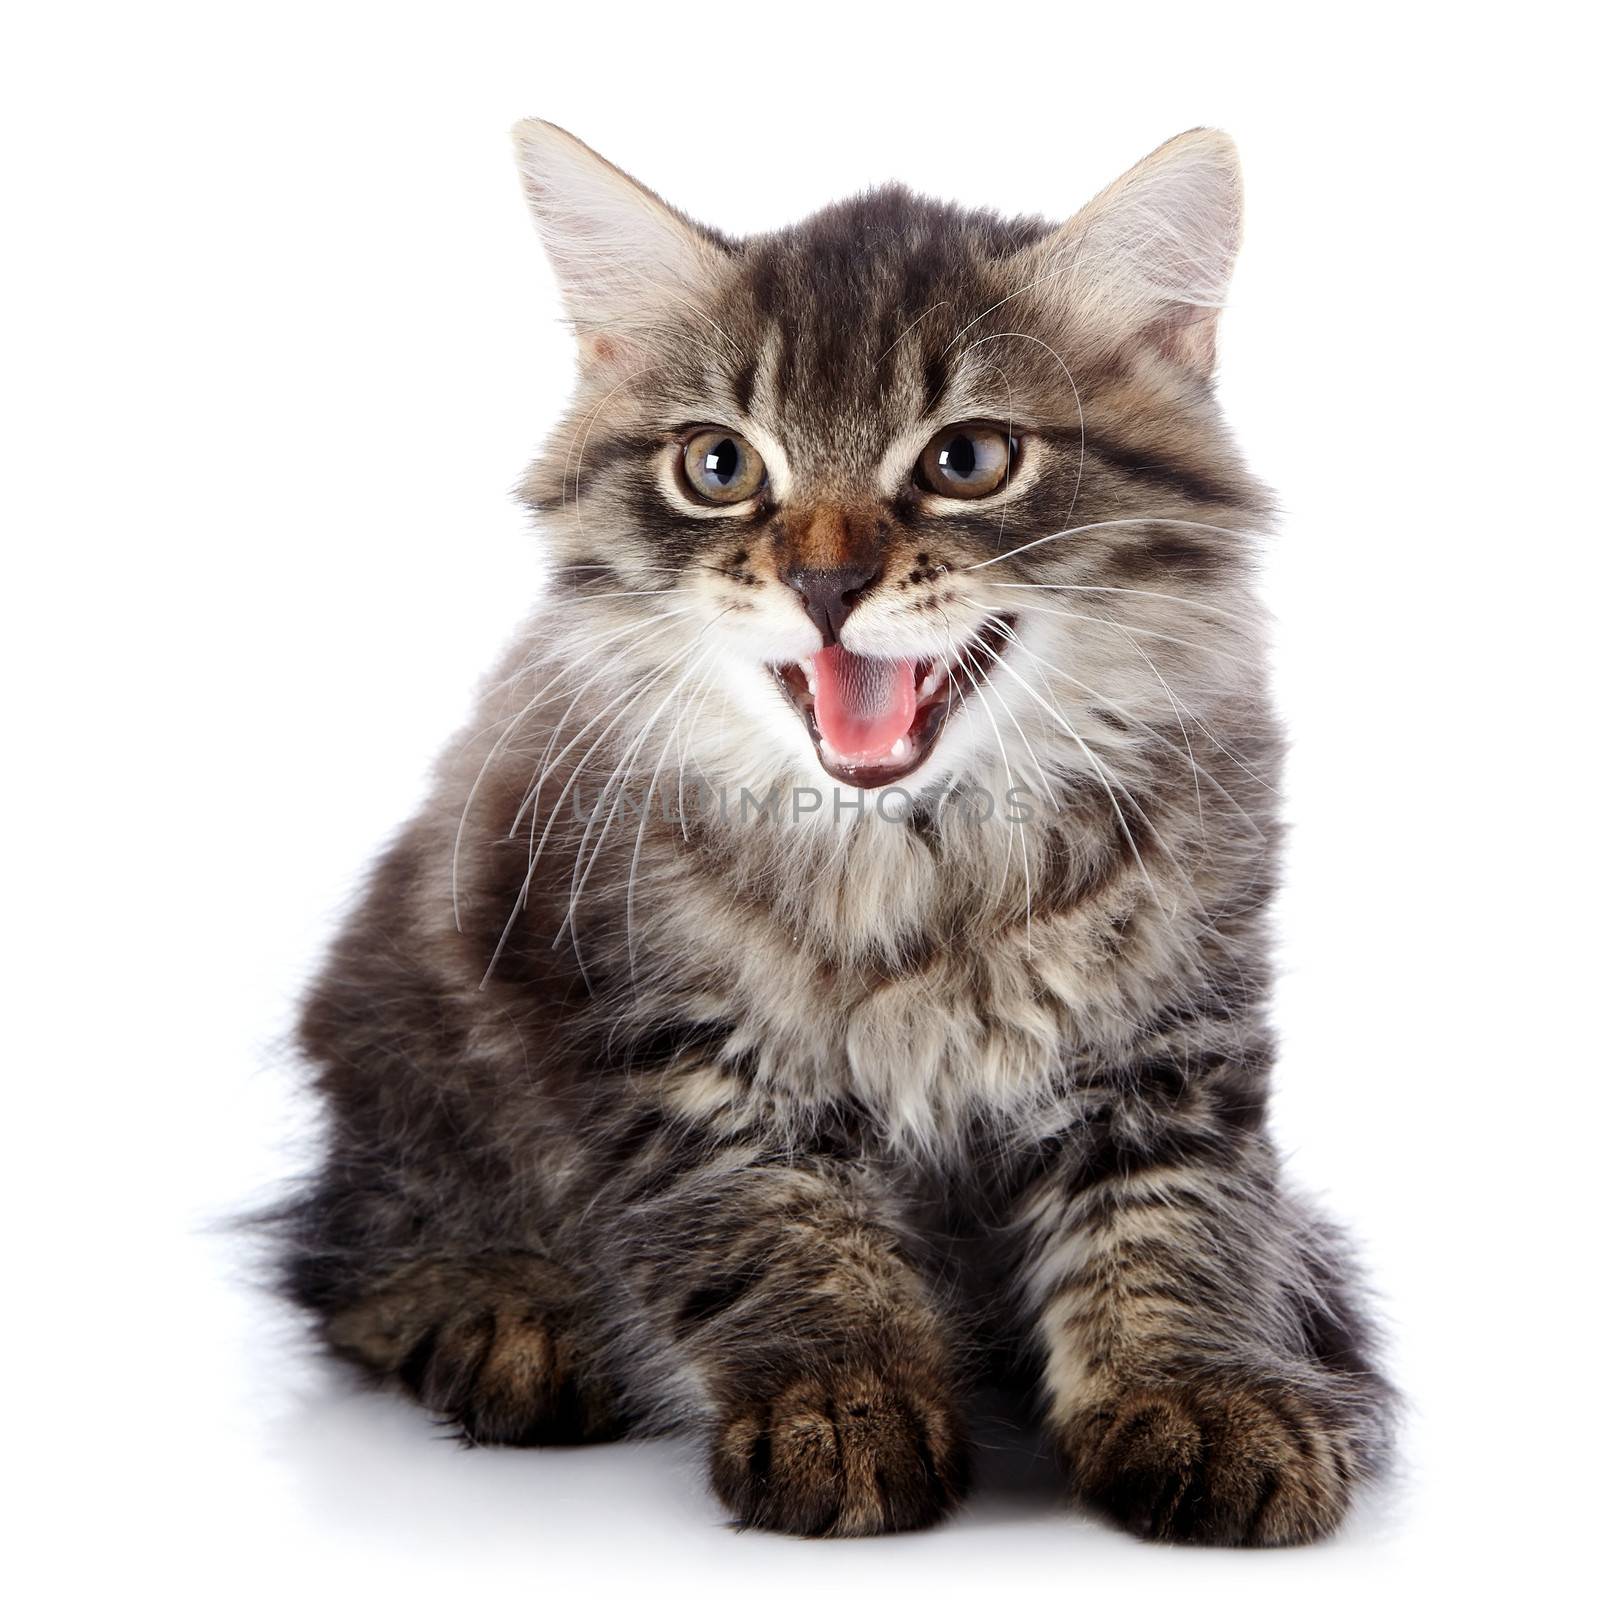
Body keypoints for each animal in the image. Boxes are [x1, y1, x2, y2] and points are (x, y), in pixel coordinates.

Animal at [275, 118, 1388, 1542]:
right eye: (719, 466)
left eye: (967, 459)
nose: (822, 580)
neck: (918, 857)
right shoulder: (674, 1042)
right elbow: (778, 1226)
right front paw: (842, 1402)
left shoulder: (1168, 1035)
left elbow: (1176, 1221)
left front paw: (1201, 1393)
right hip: (402, 1057)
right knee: (358, 1261)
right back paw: (510, 1318)